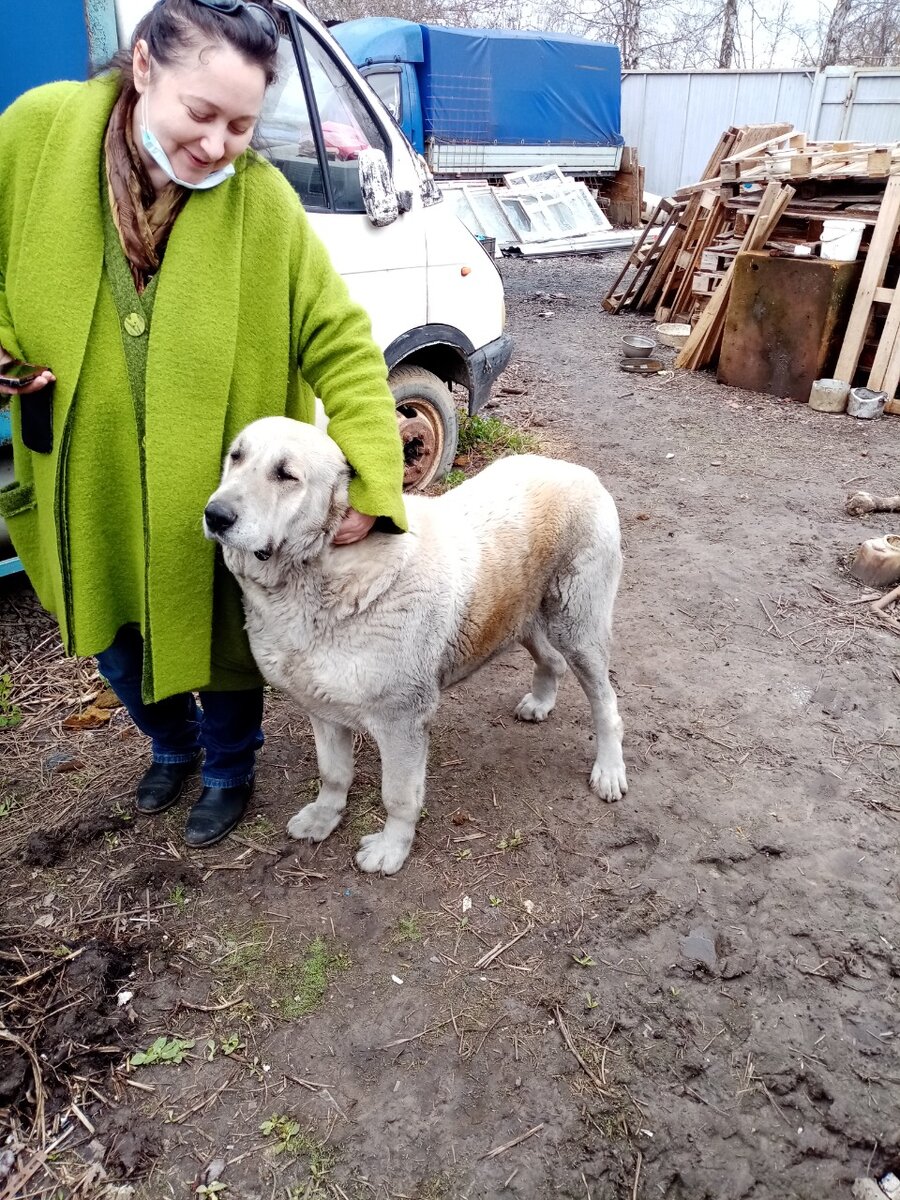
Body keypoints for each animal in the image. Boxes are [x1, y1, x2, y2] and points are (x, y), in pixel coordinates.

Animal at [204, 420, 628, 873]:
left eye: (286, 475)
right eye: (236, 457)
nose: (215, 515)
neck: (317, 578)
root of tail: (576, 471)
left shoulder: (402, 720)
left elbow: (399, 796)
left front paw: (392, 848)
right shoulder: (321, 708)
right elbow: (333, 773)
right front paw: (325, 816)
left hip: (578, 628)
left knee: (606, 705)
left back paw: (608, 770)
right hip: (521, 618)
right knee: (551, 660)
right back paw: (541, 702)